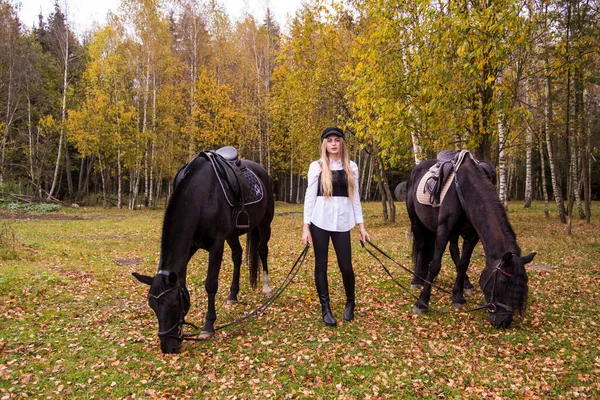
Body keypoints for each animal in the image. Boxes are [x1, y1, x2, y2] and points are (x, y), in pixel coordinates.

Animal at [132, 151, 274, 354]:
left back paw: (267, 287)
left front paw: (208, 327)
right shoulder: (192, 243)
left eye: (174, 304)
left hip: (264, 223)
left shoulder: (216, 244)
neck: (200, 197)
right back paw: (233, 296)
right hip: (232, 234)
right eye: (152, 306)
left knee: (262, 250)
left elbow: (211, 284)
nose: (168, 347)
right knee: (237, 255)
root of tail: (261, 170)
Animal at [408, 150, 536, 328]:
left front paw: (458, 296)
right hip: (416, 220)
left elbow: (463, 263)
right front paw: (422, 302)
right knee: (421, 246)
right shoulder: (444, 229)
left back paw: (466, 284)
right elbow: (435, 265)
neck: (465, 188)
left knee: (453, 250)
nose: (503, 322)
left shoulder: (472, 236)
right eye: (503, 281)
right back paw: (416, 279)